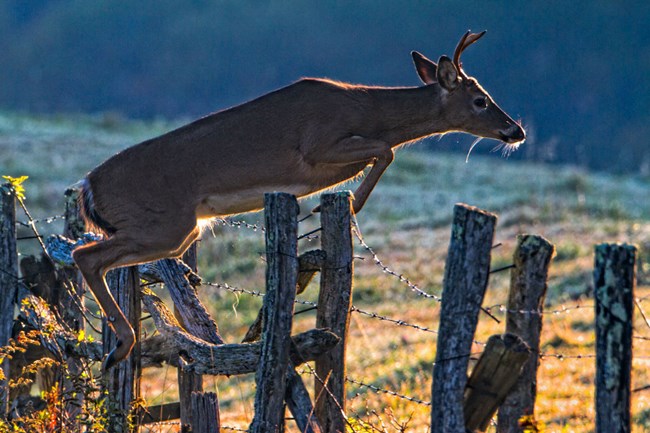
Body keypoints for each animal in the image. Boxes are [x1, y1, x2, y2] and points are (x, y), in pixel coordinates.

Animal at [72, 31, 528, 368]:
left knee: (93, 255)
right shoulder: (317, 145)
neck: (367, 109)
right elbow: (387, 150)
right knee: (84, 256)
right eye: (480, 100)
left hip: (174, 232)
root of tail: (88, 187)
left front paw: (341, 204)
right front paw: (349, 204)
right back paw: (119, 347)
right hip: (164, 224)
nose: (515, 131)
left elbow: (384, 151)